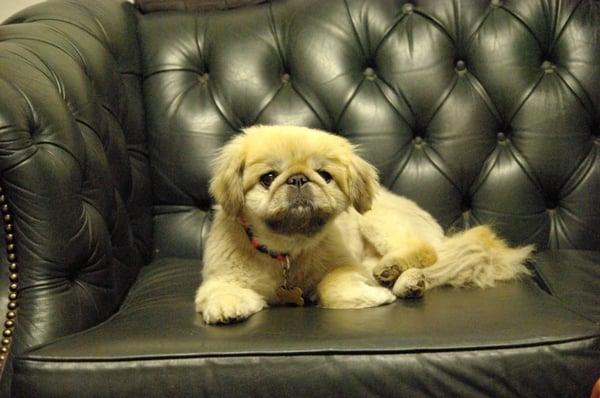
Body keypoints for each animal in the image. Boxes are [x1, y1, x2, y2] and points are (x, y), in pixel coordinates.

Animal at [195, 126, 532, 324]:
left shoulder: (348, 267)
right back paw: (406, 282)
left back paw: (394, 270)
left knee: (426, 252)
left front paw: (375, 296)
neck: (287, 250)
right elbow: (220, 291)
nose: (299, 179)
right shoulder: (220, 277)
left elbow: (330, 287)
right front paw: (227, 307)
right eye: (268, 178)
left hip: (376, 220)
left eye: (325, 175)